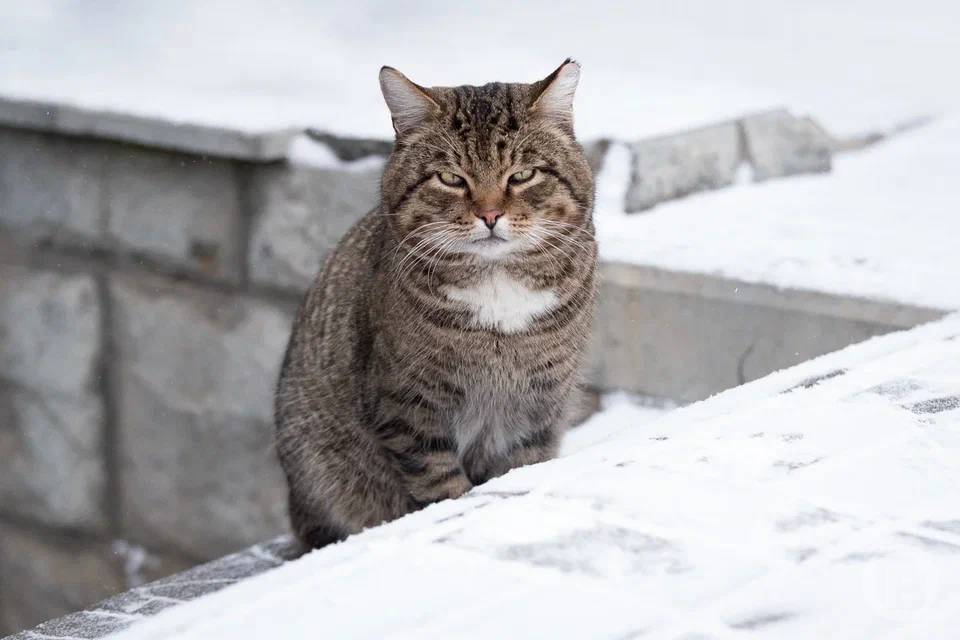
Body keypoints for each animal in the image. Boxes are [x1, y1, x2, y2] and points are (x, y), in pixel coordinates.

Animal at [274, 60, 596, 548]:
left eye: (523, 175)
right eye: (451, 178)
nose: (489, 215)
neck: (496, 285)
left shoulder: (539, 405)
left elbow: (520, 465)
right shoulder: (408, 404)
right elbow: (440, 482)